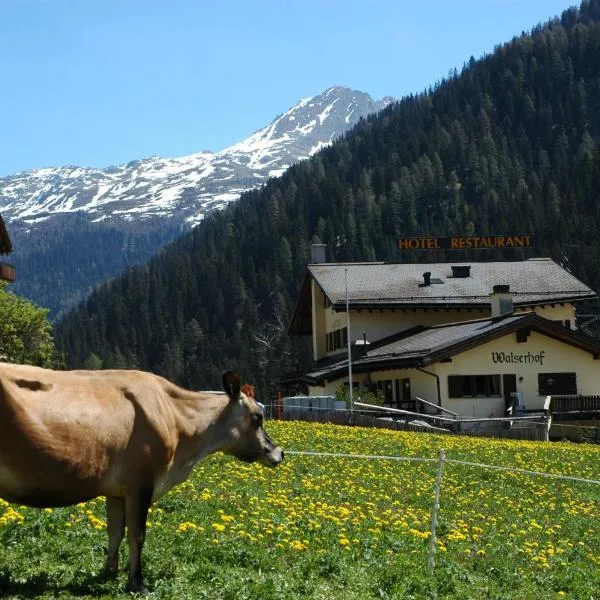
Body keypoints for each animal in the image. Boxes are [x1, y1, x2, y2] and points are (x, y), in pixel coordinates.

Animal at [0, 360, 284, 592]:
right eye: (258, 417)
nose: (279, 452)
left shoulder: (116, 491)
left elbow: (115, 532)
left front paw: (109, 573)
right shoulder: (141, 483)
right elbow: (137, 534)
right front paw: (137, 582)